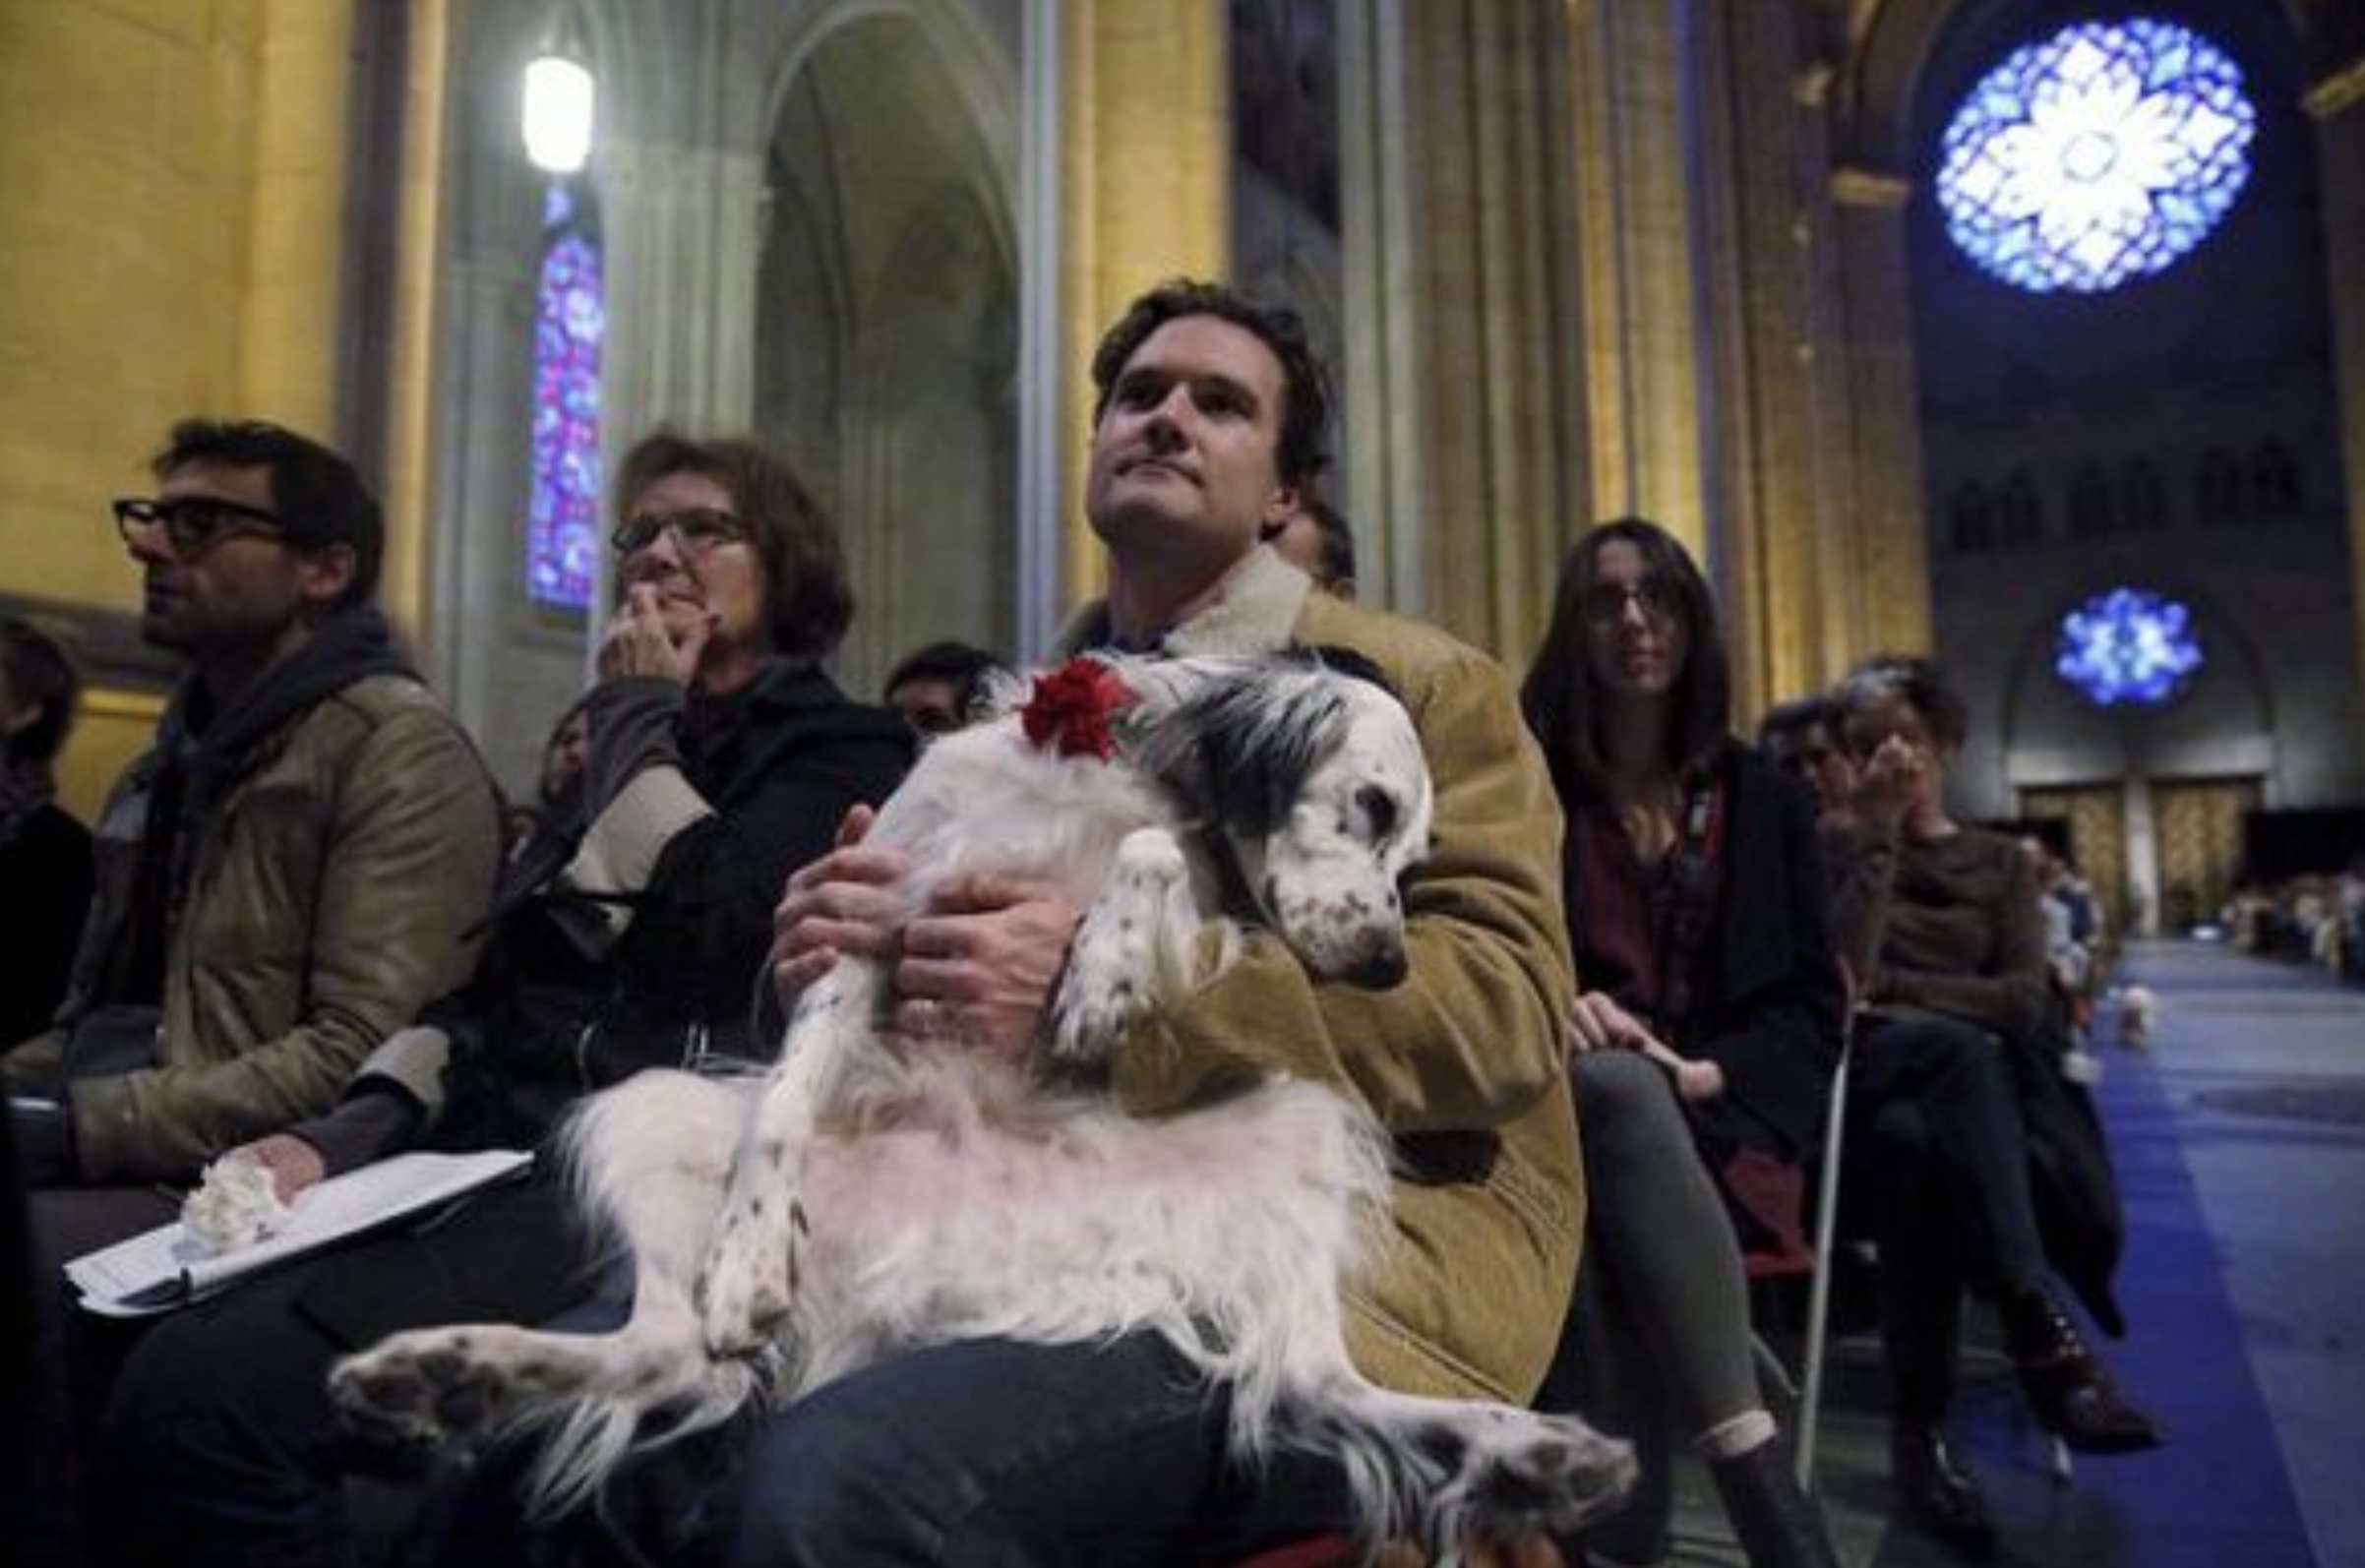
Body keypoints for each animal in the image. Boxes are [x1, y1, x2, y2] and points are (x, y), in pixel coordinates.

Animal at [329, 647, 1626, 1560]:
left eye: (1415, 857)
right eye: (1369, 806)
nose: (1389, 968)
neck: (1100, 763)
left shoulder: (1209, 914)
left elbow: (1154, 854)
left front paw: (1098, 972)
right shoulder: (869, 912)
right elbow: (784, 1103)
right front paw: (749, 1251)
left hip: (1294, 1127)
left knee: (1310, 1381)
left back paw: (1531, 1452)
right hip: (651, 1113)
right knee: (672, 1348)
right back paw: (450, 1369)